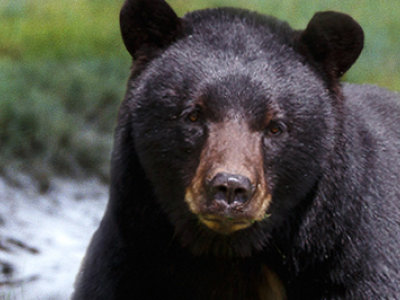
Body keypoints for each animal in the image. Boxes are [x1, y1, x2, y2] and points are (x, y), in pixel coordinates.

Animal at [71, 1, 400, 298]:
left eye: (275, 127)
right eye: (193, 115)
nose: (230, 188)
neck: (230, 257)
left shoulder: (353, 265)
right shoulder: (126, 263)